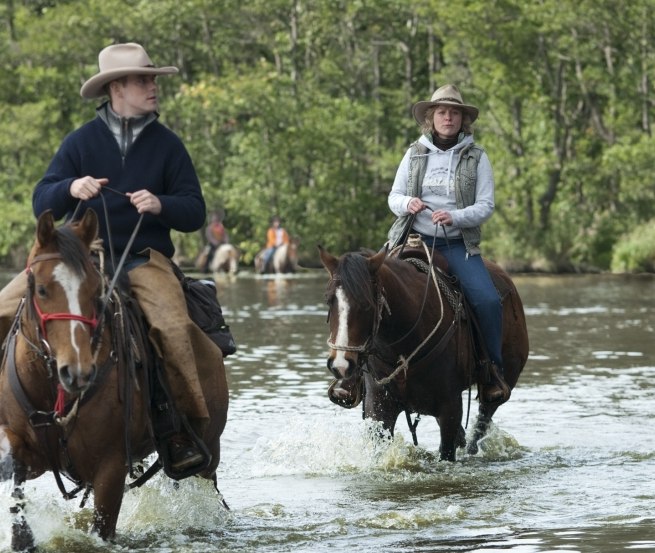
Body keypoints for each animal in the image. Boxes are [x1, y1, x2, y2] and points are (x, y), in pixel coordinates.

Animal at [320, 244, 532, 460]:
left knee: (482, 422)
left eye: (366, 304)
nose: (341, 364)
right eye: (328, 300)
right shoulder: (379, 408)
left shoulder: (450, 408)